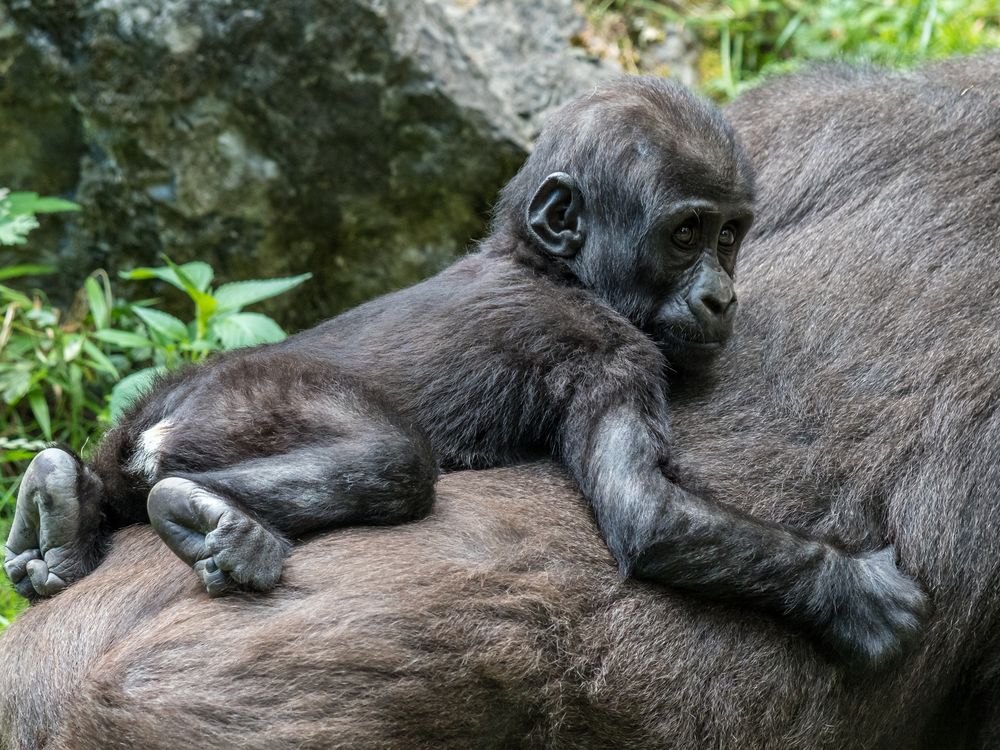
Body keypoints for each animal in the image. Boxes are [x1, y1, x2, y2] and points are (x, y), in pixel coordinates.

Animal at [1, 55, 1000, 748]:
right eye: (686, 236)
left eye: (732, 236)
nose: (722, 298)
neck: (539, 261)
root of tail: (162, 422)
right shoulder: (612, 350)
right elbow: (647, 515)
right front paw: (846, 590)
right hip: (248, 408)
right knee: (391, 464)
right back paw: (210, 517)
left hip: (163, 405)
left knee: (115, 478)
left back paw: (62, 503)